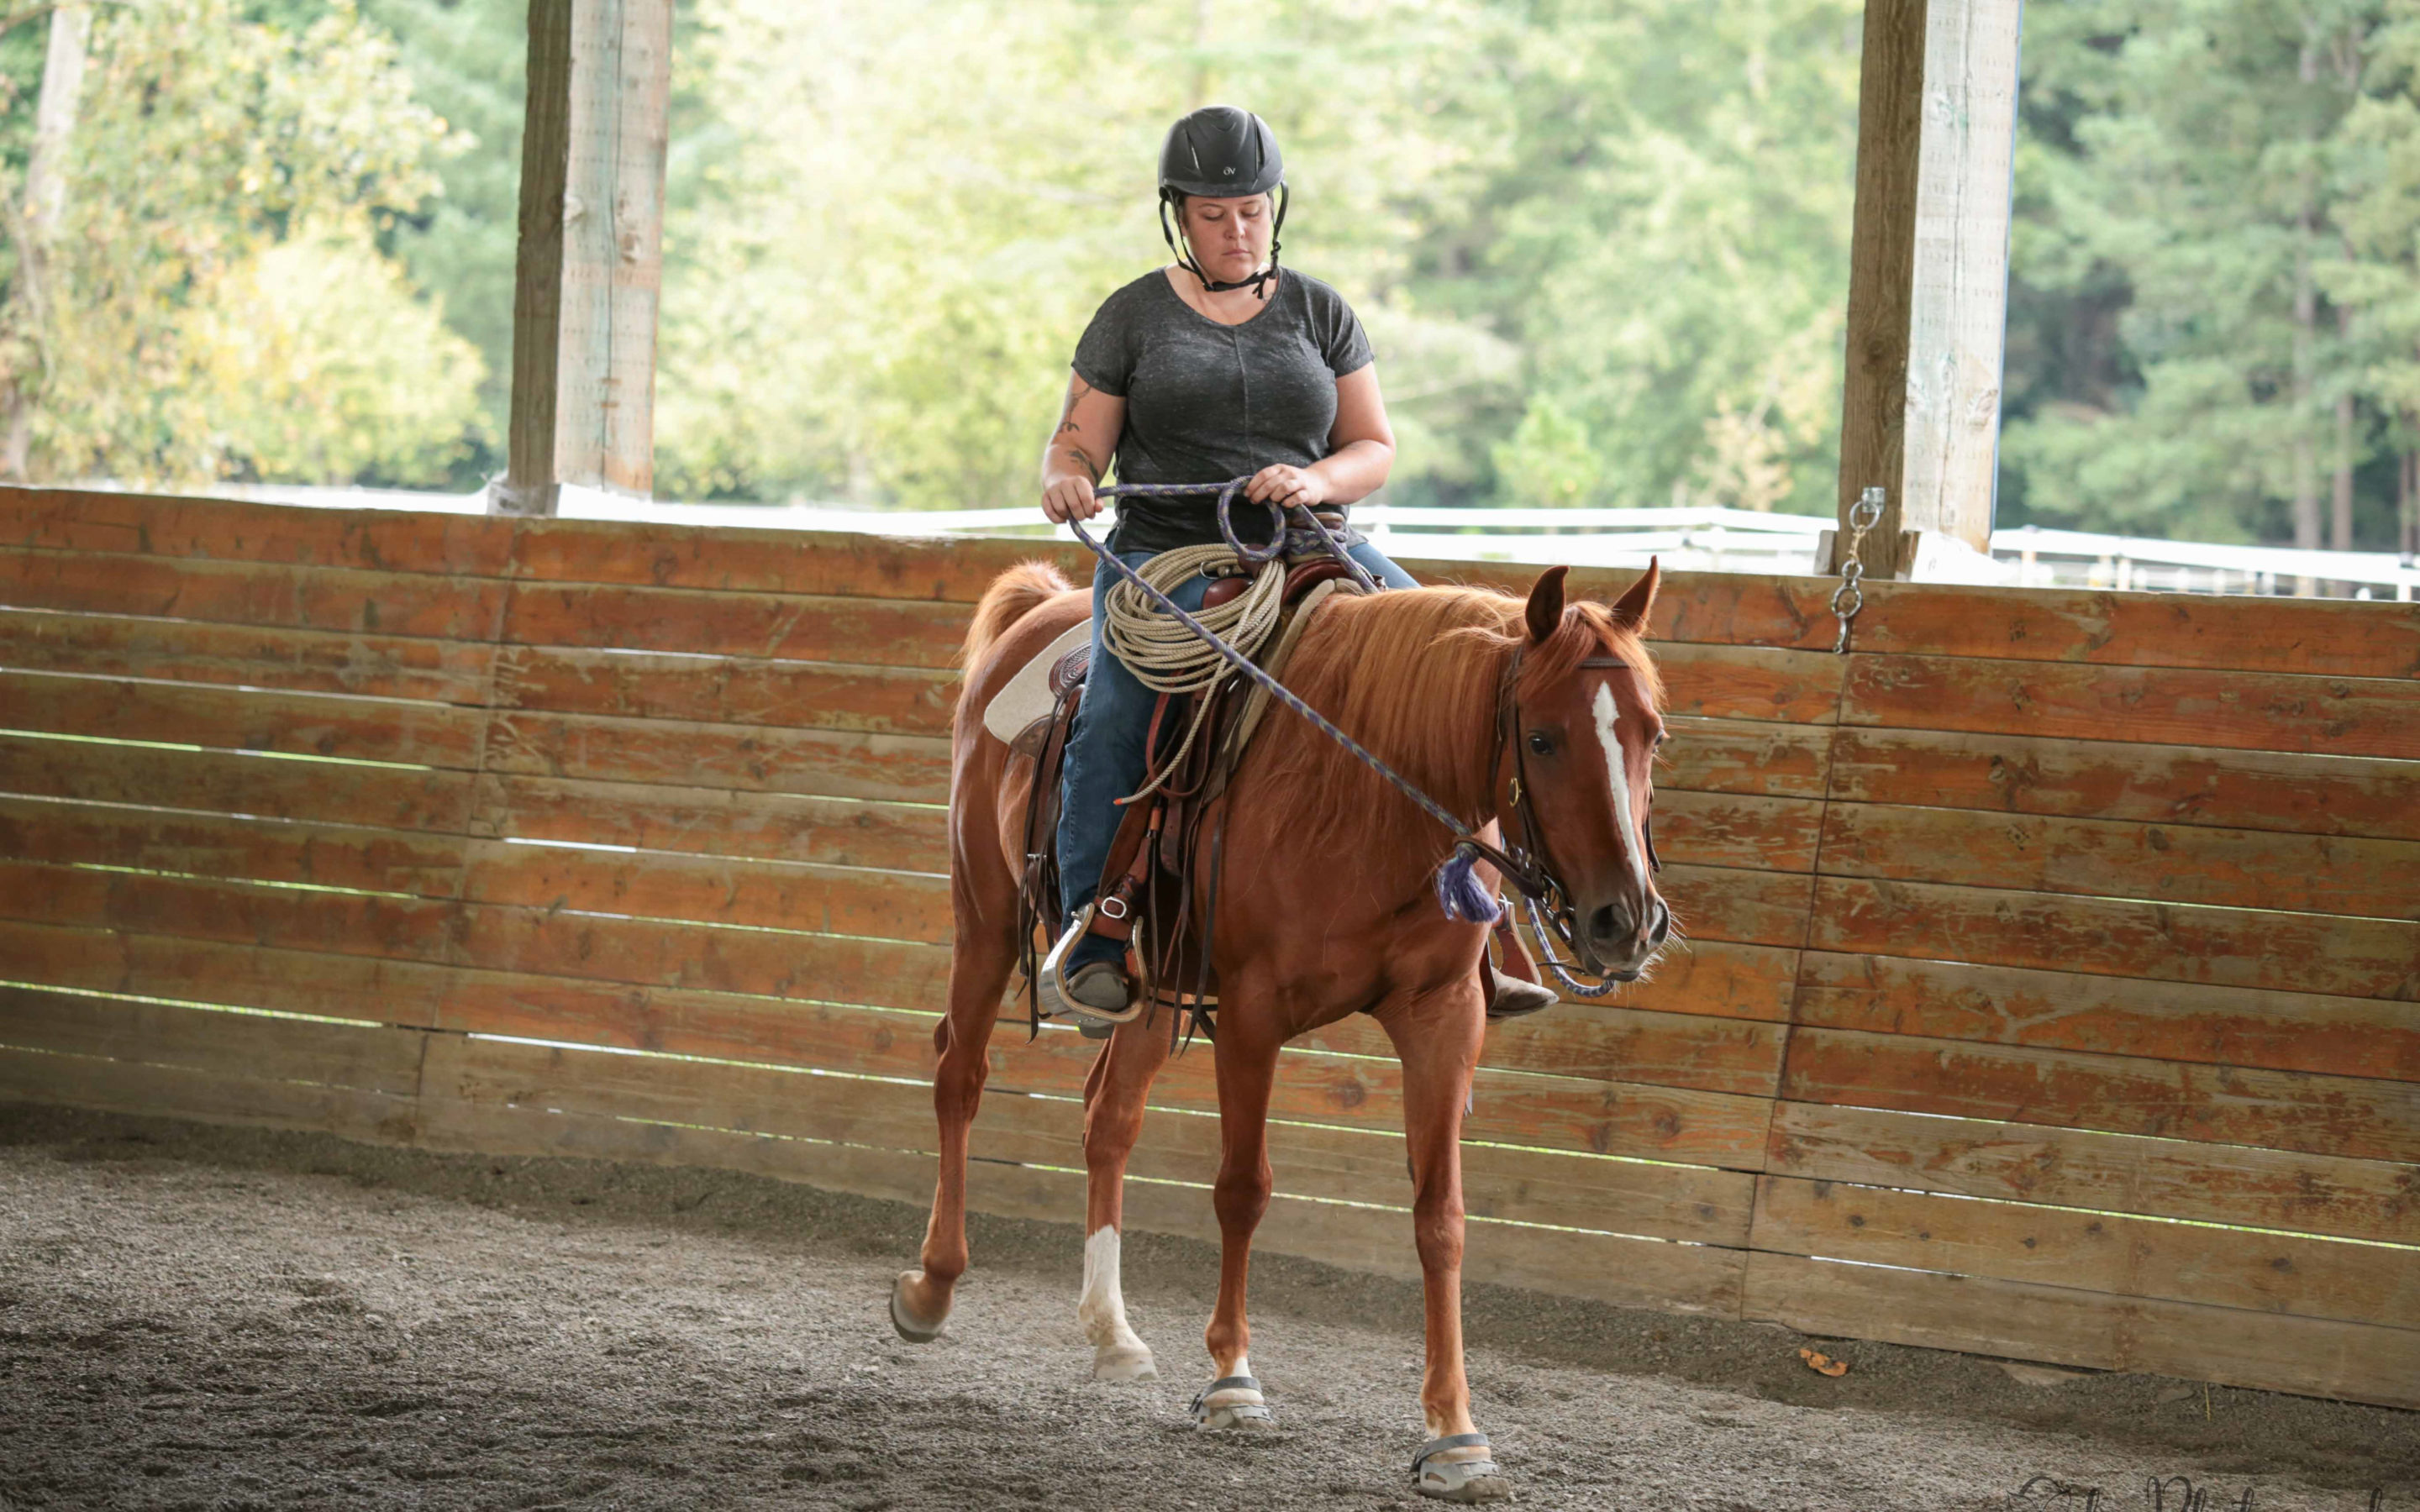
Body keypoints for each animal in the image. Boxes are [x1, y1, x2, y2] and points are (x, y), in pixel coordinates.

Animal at [890, 556, 1665, 1499]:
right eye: (1545, 740)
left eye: (1653, 735)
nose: (1625, 922)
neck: (1369, 791)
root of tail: (1039, 606)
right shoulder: (1255, 1014)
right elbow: (1242, 1190)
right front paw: (1232, 1382)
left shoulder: (1445, 1015)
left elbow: (1440, 1218)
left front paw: (1456, 1435)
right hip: (985, 913)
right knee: (958, 1075)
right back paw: (932, 1287)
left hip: (1150, 989)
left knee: (1108, 1118)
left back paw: (1112, 1332)